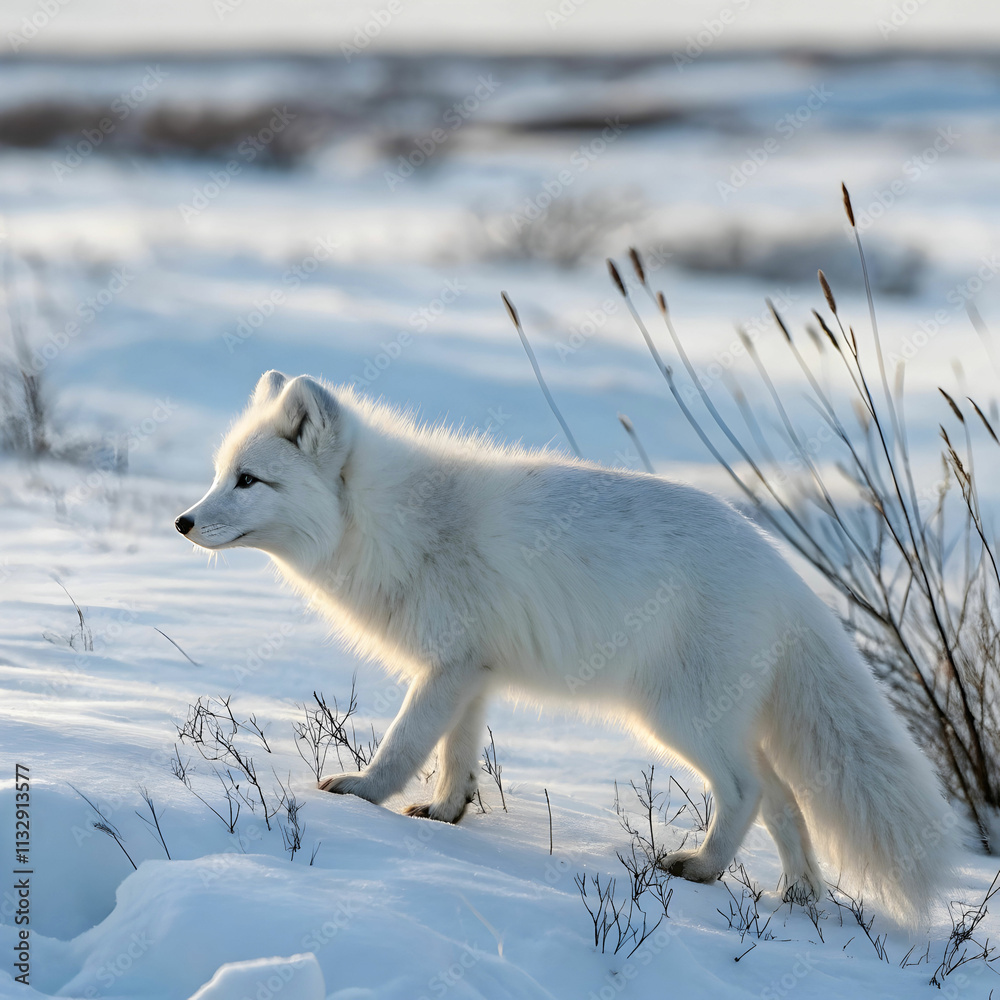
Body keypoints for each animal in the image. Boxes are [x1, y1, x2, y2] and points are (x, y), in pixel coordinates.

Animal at [176, 370, 957, 923]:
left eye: (249, 480)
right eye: (219, 474)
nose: (182, 522)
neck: (390, 518)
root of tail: (784, 572)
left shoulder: (446, 666)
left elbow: (403, 744)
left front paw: (361, 794)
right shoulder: (471, 671)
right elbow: (456, 756)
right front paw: (445, 814)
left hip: (677, 717)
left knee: (748, 790)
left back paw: (702, 868)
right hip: (720, 721)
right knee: (786, 799)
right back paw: (798, 897)